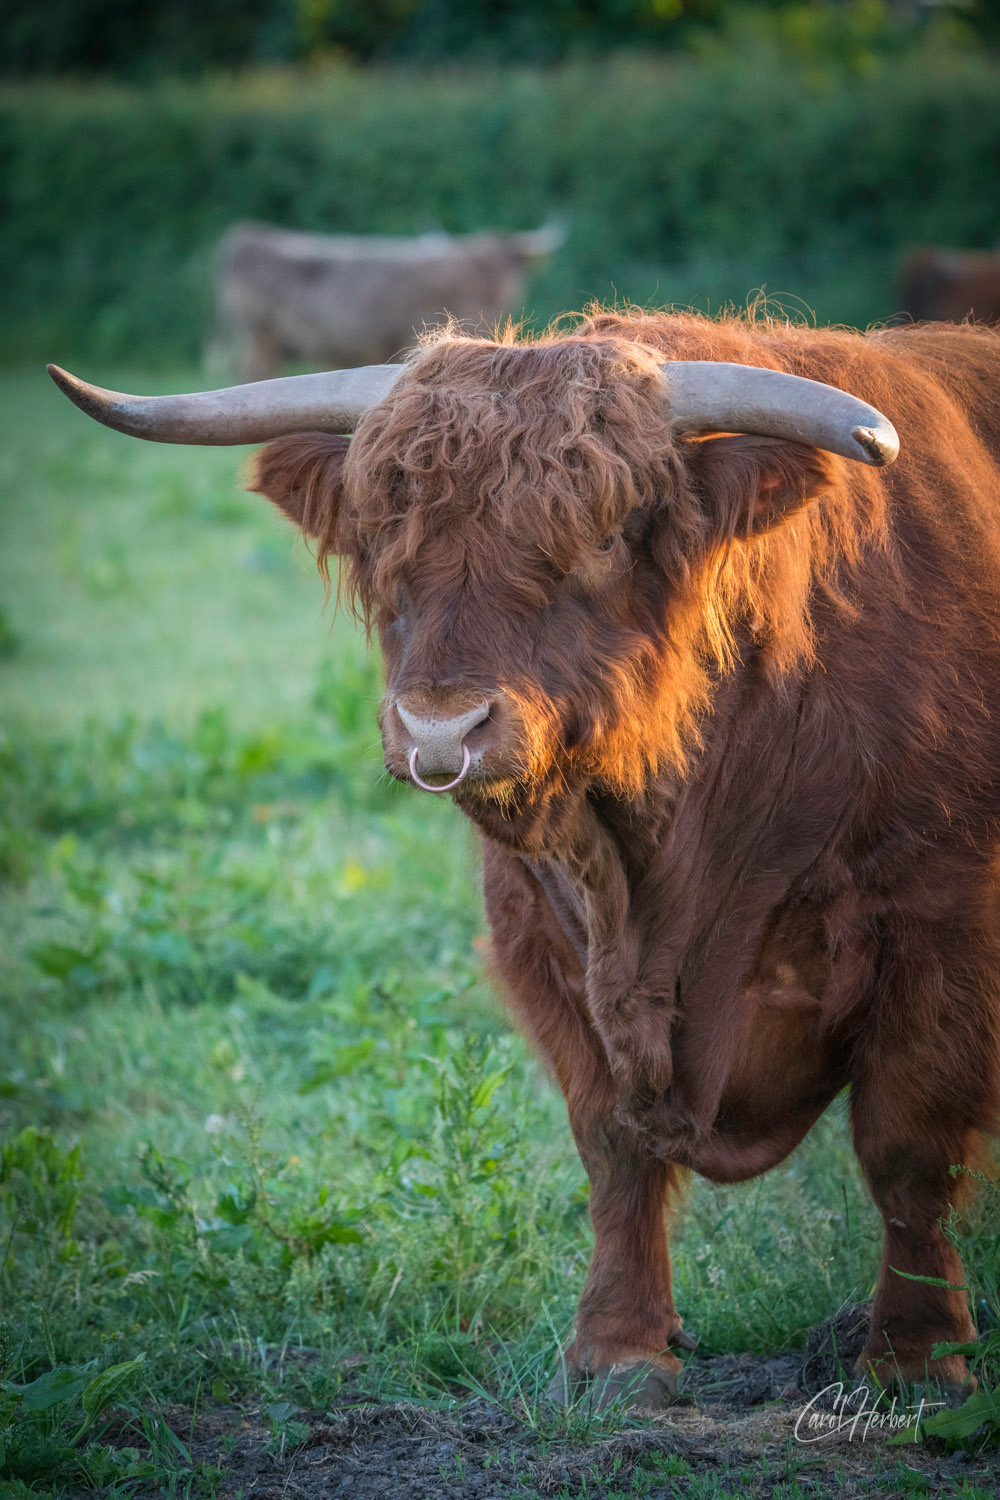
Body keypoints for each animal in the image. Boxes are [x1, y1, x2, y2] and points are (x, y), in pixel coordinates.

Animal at [52, 316, 1000, 1404]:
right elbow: (611, 1143)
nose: (440, 729)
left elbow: (907, 1147)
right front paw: (616, 1350)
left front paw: (916, 1362)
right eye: (385, 540)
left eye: (600, 535)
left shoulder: (937, 928)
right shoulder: (541, 937)